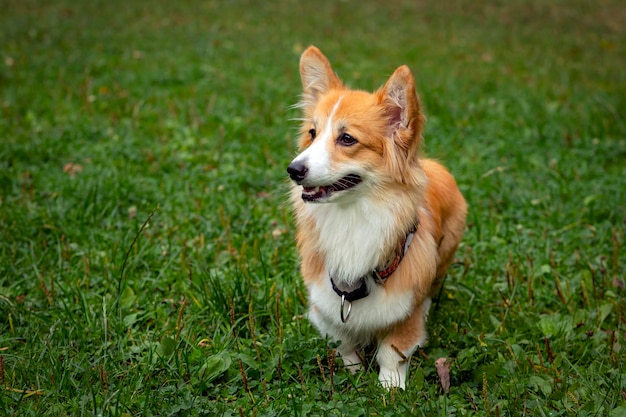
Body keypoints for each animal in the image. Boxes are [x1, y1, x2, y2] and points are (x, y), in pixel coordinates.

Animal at [286, 47, 466, 388]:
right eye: (312, 134)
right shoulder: (327, 303)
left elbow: (392, 351)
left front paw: (390, 388)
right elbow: (343, 342)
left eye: (347, 139)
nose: (293, 170)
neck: (354, 215)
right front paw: (353, 372)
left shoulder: (404, 308)